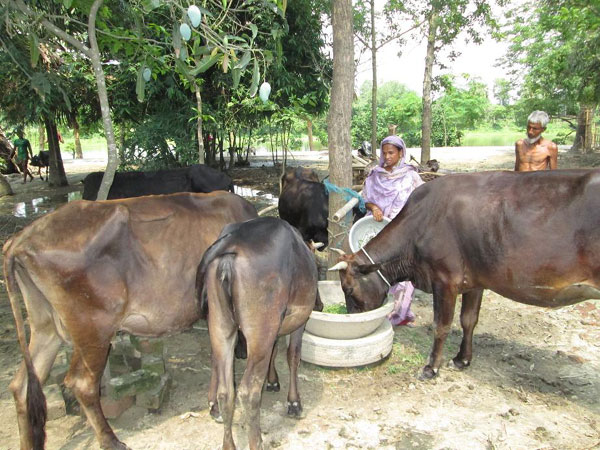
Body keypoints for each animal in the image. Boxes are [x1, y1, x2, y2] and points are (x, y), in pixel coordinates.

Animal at [4, 192, 258, 450]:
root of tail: (21, 238)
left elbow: (217, 357)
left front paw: (213, 406)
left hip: (46, 328)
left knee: (22, 385)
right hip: (94, 328)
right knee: (82, 383)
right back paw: (111, 440)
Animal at [196, 216, 318, 448]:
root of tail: (231, 242)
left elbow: (275, 351)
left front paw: (272, 381)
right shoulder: (299, 321)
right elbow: (293, 356)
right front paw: (294, 403)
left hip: (221, 325)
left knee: (226, 390)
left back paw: (228, 444)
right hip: (261, 329)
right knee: (248, 391)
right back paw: (257, 441)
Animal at [330, 169, 600, 380]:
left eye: (349, 289)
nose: (351, 318)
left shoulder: (445, 280)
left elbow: (441, 325)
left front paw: (431, 368)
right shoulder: (474, 282)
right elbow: (468, 320)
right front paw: (462, 359)